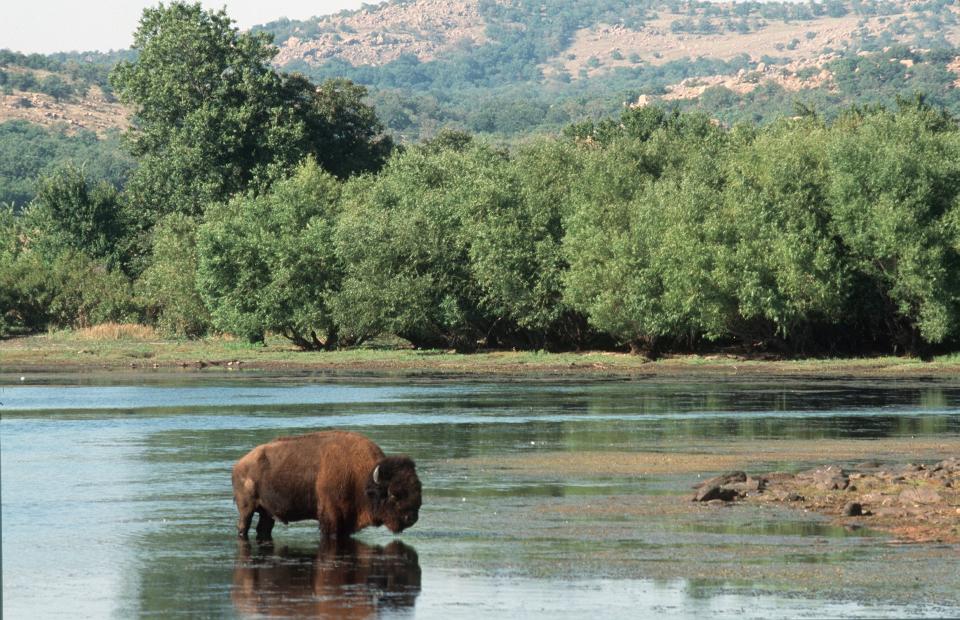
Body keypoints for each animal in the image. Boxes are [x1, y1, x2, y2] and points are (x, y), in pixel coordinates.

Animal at [232, 432, 420, 536]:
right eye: (393, 494)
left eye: (417, 490)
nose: (411, 518)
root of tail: (239, 464)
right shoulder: (331, 517)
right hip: (247, 509)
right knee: (243, 526)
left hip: (266, 512)